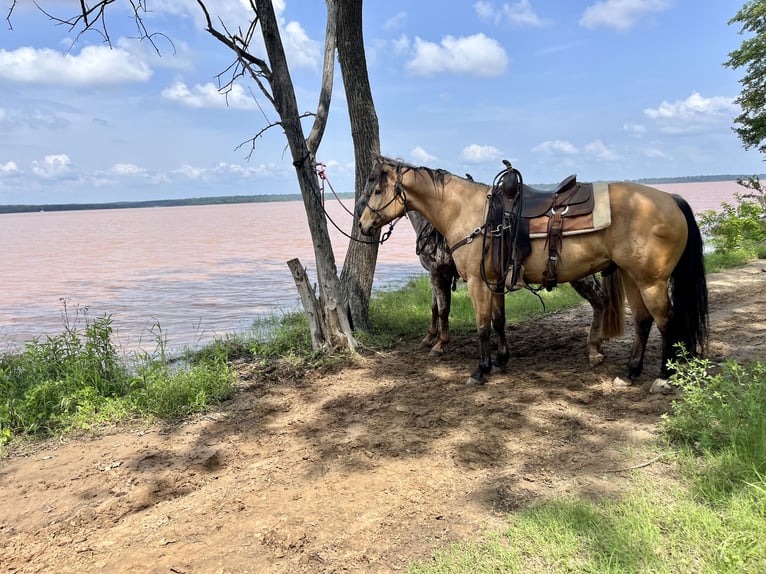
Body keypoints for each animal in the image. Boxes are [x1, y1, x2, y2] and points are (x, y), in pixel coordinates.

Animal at [358, 156, 708, 388]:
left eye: (376, 190)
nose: (362, 225)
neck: (466, 211)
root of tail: (671, 198)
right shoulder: (494, 281)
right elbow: (498, 321)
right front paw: (501, 361)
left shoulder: (476, 282)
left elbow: (481, 325)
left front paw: (480, 370)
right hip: (632, 276)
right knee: (643, 322)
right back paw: (629, 372)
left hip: (650, 281)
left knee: (666, 321)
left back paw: (663, 376)